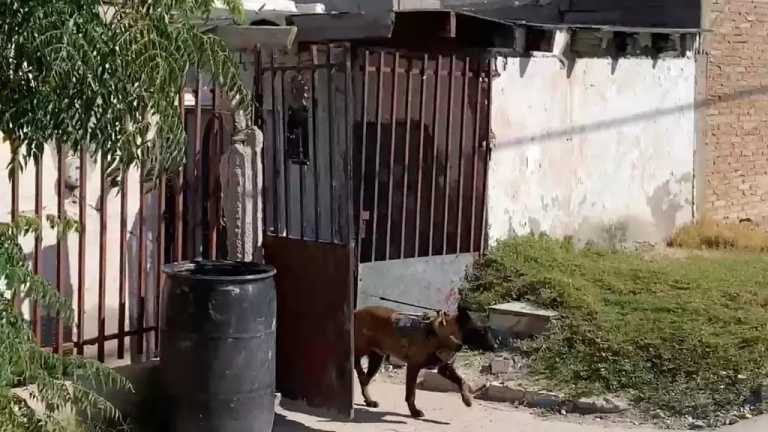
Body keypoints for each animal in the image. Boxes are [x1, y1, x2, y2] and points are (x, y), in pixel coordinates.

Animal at [352, 306, 496, 416]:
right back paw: (359, 372)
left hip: (376, 359)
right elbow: (411, 393)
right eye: (481, 331)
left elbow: (462, 381)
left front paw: (467, 399)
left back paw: (369, 400)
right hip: (361, 349)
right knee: (356, 363)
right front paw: (414, 411)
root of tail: (356, 312)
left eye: (489, 330)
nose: (495, 347)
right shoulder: (413, 366)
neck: (446, 334)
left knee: (365, 381)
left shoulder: (445, 368)